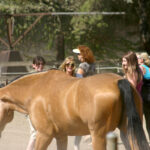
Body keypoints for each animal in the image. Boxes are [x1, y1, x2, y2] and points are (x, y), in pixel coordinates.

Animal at [0, 69, 149, 149]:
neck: (35, 89)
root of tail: (118, 81)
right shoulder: (61, 136)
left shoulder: (44, 135)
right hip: (127, 132)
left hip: (98, 136)